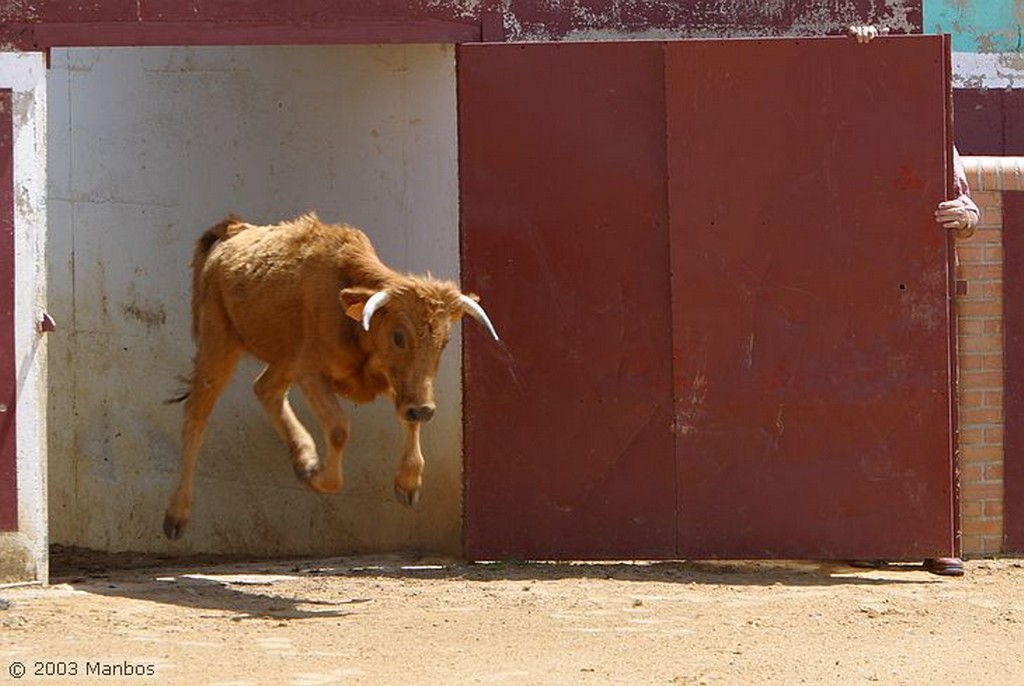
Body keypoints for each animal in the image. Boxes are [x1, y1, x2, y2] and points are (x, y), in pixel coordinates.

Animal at [161, 211, 497, 540]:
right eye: (399, 336)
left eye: (446, 340)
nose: (425, 409)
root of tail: (233, 229)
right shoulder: (310, 372)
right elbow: (338, 428)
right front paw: (319, 479)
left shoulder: (396, 383)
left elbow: (408, 420)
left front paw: (408, 484)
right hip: (218, 346)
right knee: (196, 418)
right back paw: (176, 515)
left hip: (283, 358)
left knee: (266, 389)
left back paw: (304, 458)